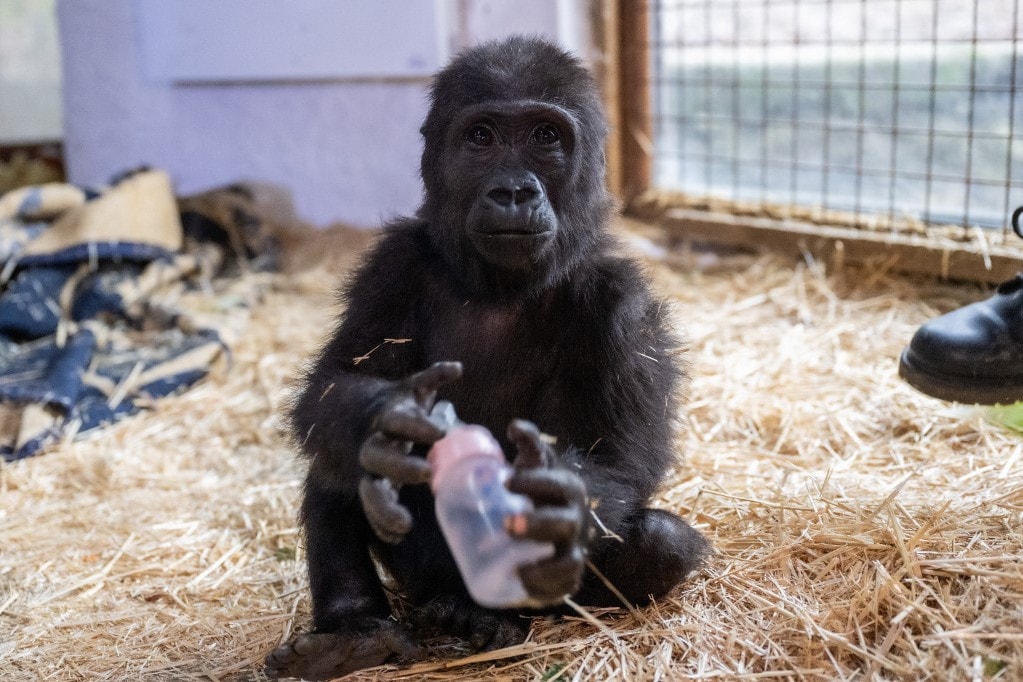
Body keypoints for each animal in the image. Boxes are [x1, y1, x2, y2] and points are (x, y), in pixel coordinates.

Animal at [264, 36, 710, 681]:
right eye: (482, 138)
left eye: (546, 137)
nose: (514, 191)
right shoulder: (391, 266)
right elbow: (334, 385)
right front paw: (386, 420)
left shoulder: (622, 302)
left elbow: (626, 457)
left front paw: (557, 502)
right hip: (420, 577)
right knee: (336, 461)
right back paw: (357, 634)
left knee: (660, 544)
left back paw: (496, 618)